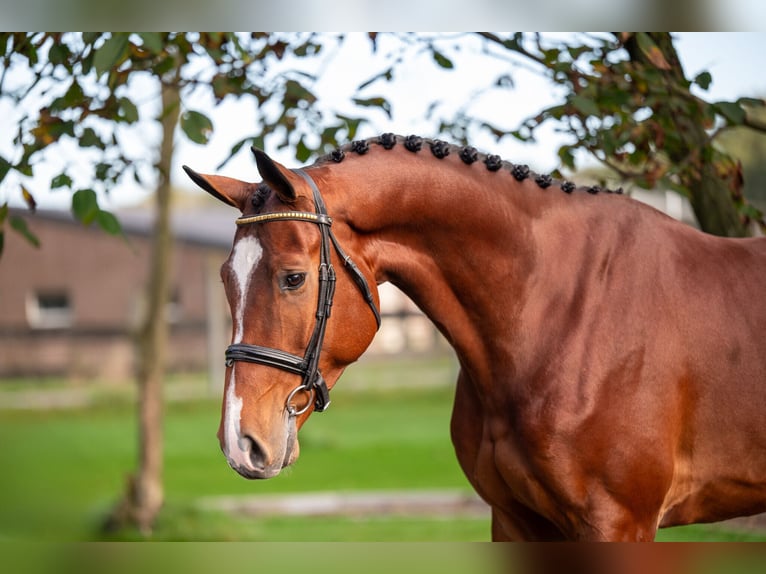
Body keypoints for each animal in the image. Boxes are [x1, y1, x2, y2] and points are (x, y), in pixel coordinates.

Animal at [186, 135, 766, 544]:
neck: (556, 313)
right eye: (225, 278)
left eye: (293, 278)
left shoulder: (619, 523)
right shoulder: (515, 521)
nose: (240, 442)